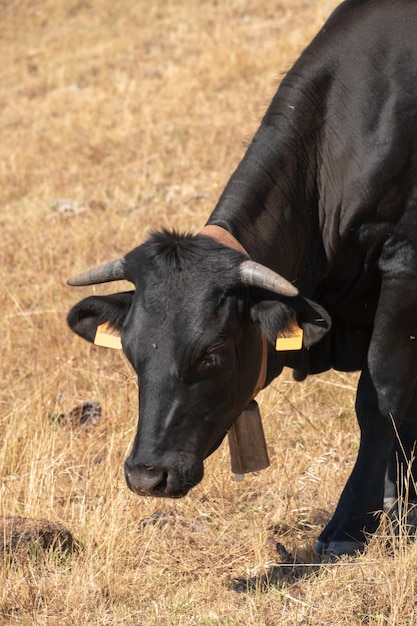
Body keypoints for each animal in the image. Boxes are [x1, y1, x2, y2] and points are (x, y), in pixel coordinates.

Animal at [66, 0, 416, 556]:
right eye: (131, 353)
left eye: (212, 354)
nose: (147, 475)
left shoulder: (404, 263)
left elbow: (382, 395)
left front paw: (352, 523)